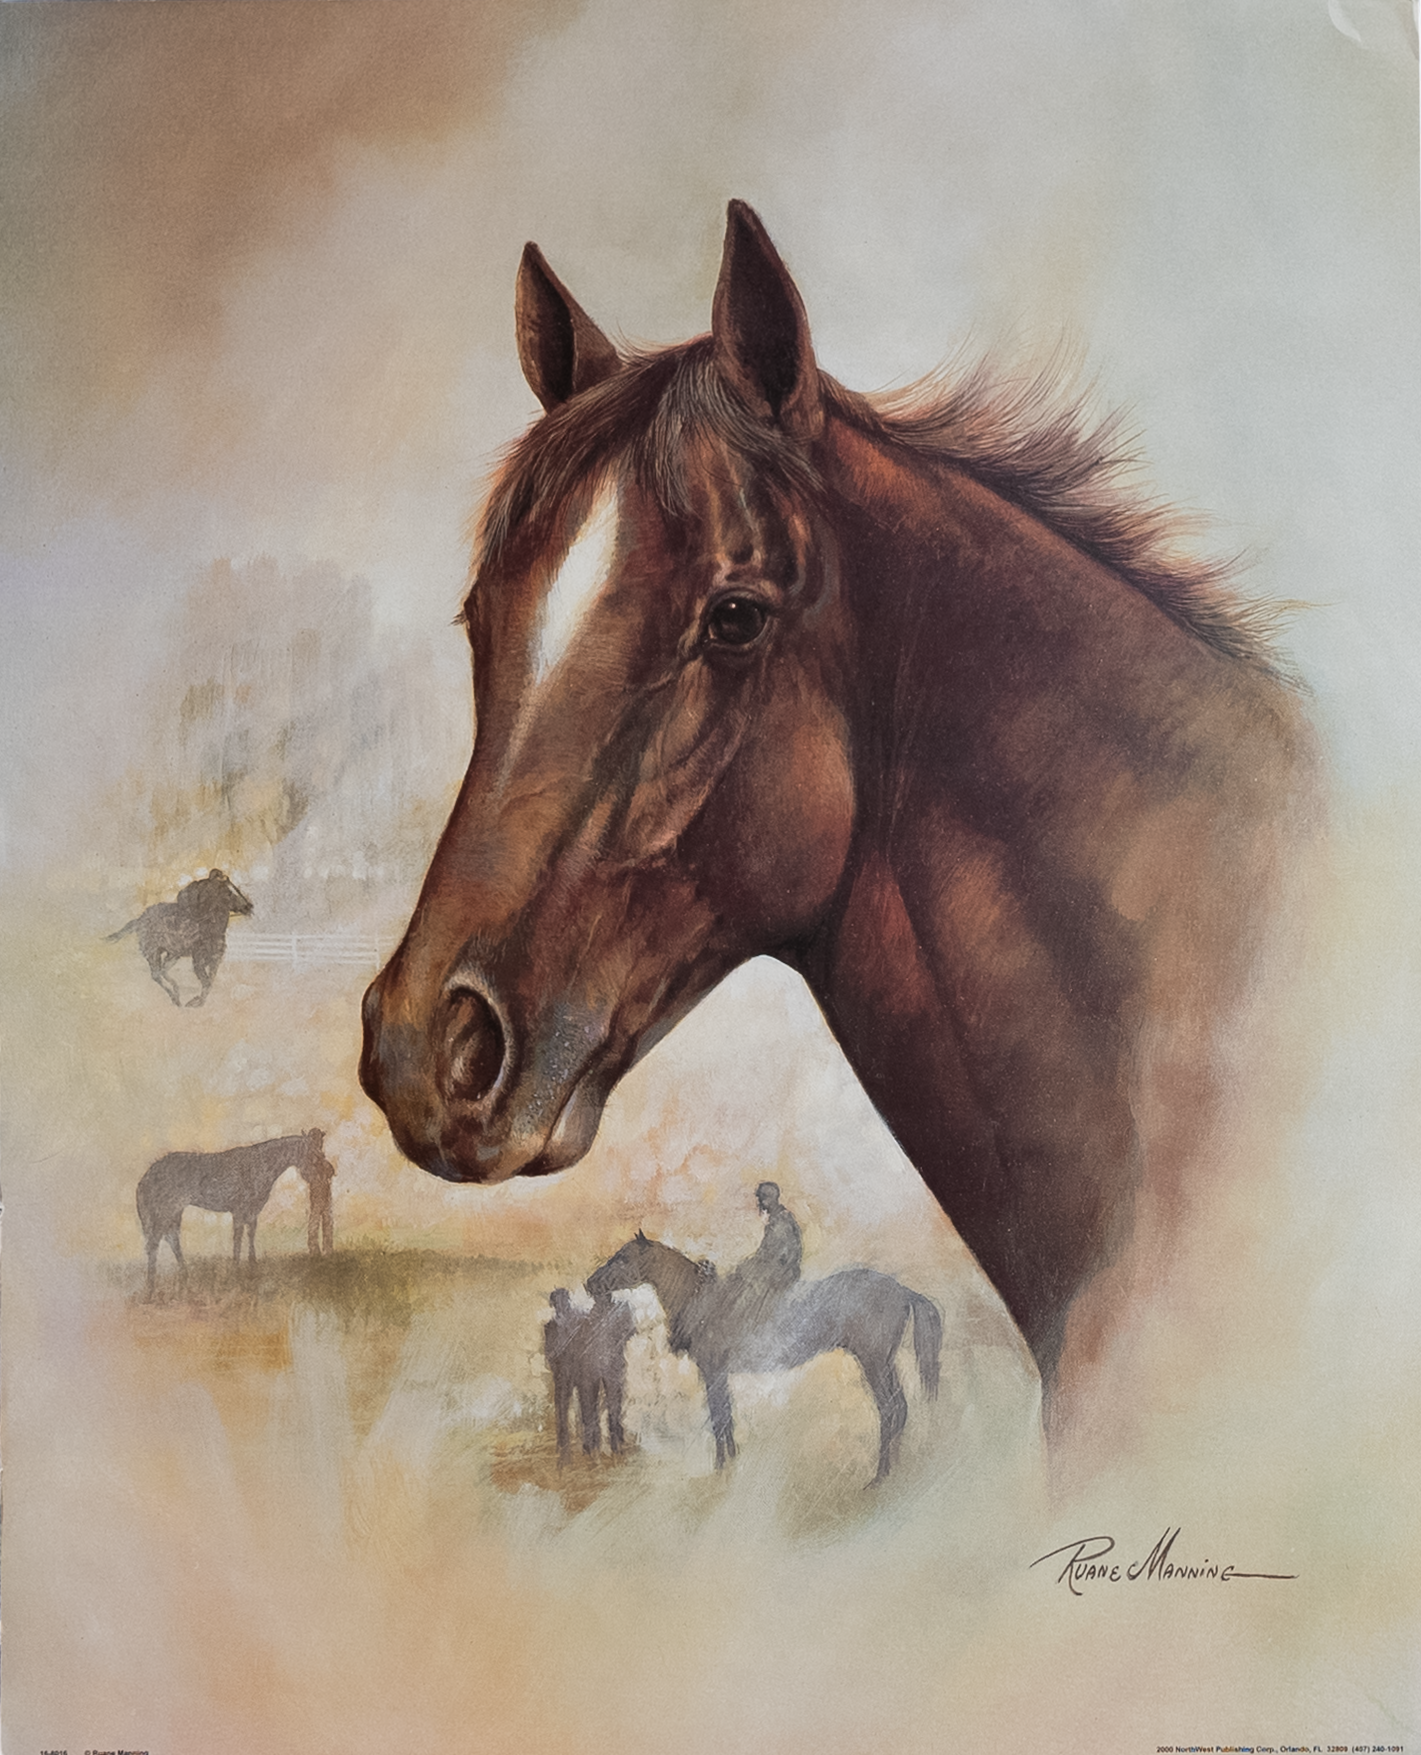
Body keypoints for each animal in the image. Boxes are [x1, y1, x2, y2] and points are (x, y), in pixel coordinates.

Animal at [107, 869, 253, 1006]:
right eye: (228, 893)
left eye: (235, 888)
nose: (249, 907)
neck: (211, 929)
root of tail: (139, 920)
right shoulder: (198, 961)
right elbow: (207, 983)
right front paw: (196, 1003)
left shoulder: (215, 960)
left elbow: (210, 982)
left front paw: (197, 1001)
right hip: (152, 952)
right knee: (156, 975)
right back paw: (175, 997)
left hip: (173, 954)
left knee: (163, 971)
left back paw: (176, 994)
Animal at [136, 1128, 335, 1295]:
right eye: (314, 1155)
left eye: (322, 1152)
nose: (330, 1172)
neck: (258, 1166)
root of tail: (147, 1175)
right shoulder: (238, 1211)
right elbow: (237, 1239)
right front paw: (236, 1271)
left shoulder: (253, 1211)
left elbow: (250, 1235)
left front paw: (252, 1267)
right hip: (164, 1211)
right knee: (154, 1243)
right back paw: (151, 1287)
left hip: (176, 1212)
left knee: (172, 1239)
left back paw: (184, 1278)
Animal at [587, 1233, 942, 1482]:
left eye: (622, 1258)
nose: (590, 1283)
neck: (702, 1303)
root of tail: (901, 1290)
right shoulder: (719, 1375)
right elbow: (726, 1416)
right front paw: (731, 1461)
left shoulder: (713, 1373)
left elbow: (718, 1419)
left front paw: (720, 1466)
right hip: (884, 1363)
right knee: (900, 1408)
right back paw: (895, 1468)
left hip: (873, 1362)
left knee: (889, 1409)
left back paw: (879, 1476)